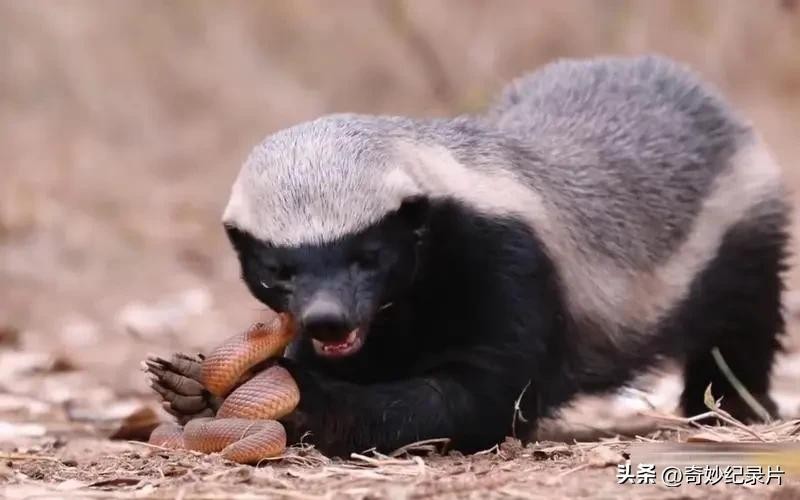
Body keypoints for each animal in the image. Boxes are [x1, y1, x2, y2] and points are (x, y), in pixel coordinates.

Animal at [149, 55, 790, 457]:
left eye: (369, 256)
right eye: (278, 271)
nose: (327, 319)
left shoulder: (511, 263)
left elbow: (478, 394)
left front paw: (303, 398)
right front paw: (191, 384)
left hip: (746, 233)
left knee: (742, 330)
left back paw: (732, 407)